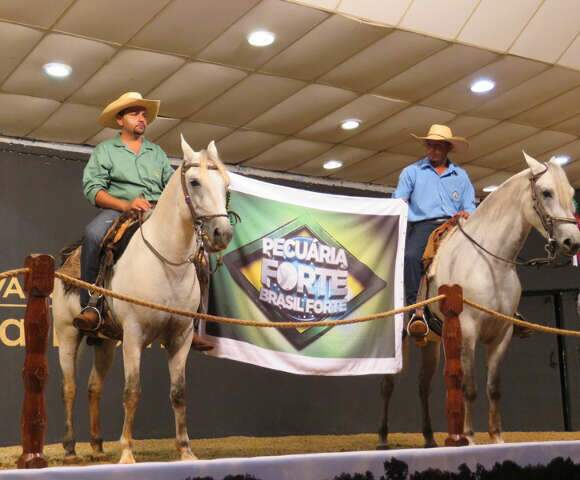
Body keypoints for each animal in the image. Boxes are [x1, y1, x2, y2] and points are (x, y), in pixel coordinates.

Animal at [49, 135, 231, 462]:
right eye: (194, 181)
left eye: (226, 184)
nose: (221, 233)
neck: (166, 261)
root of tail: (67, 259)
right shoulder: (134, 335)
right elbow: (132, 391)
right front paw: (127, 453)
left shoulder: (181, 337)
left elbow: (178, 392)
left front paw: (186, 451)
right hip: (68, 333)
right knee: (68, 386)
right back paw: (70, 449)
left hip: (106, 341)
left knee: (94, 386)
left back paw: (97, 447)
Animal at [378, 154, 576, 450]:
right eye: (546, 192)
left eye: (572, 194)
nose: (572, 242)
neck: (490, 261)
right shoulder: (468, 331)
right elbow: (468, 387)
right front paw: (468, 437)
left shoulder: (502, 335)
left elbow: (493, 388)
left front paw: (496, 437)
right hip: (398, 337)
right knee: (388, 385)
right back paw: (382, 438)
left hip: (432, 343)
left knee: (423, 385)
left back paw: (429, 438)